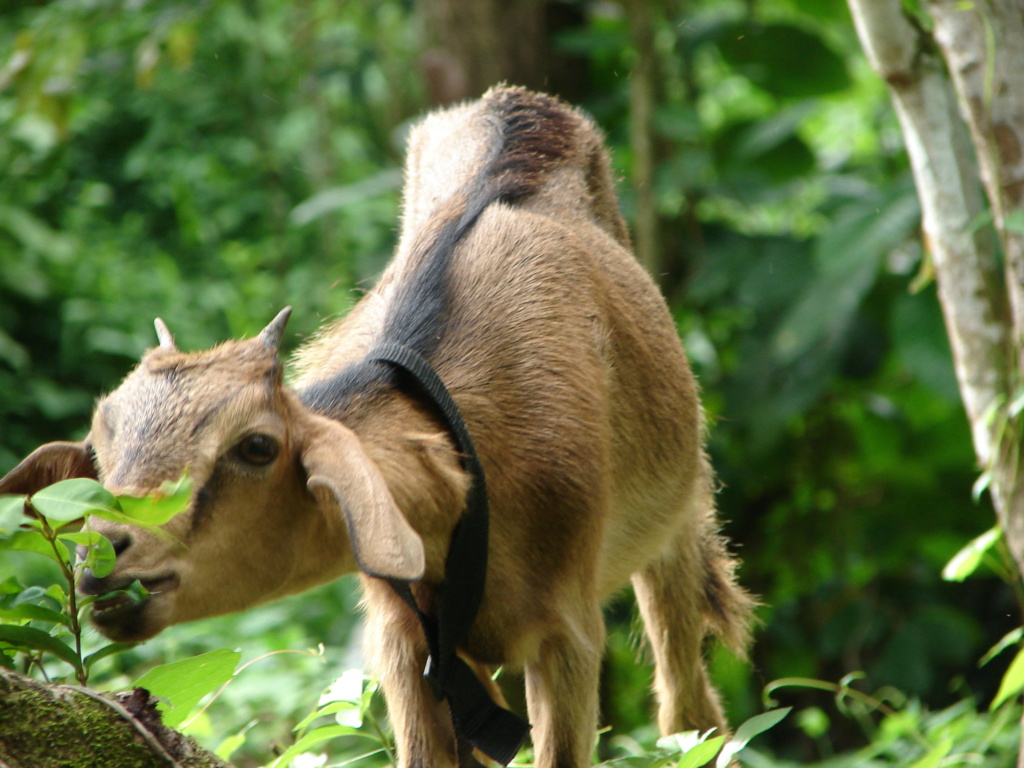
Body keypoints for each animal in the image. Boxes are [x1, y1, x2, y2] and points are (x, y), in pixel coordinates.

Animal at [0, 87, 753, 768]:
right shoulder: (405, 639)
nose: (104, 554)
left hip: (675, 524)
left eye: (257, 447)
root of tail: (519, 101)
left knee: (691, 712)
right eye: (101, 452)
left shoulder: (568, 633)